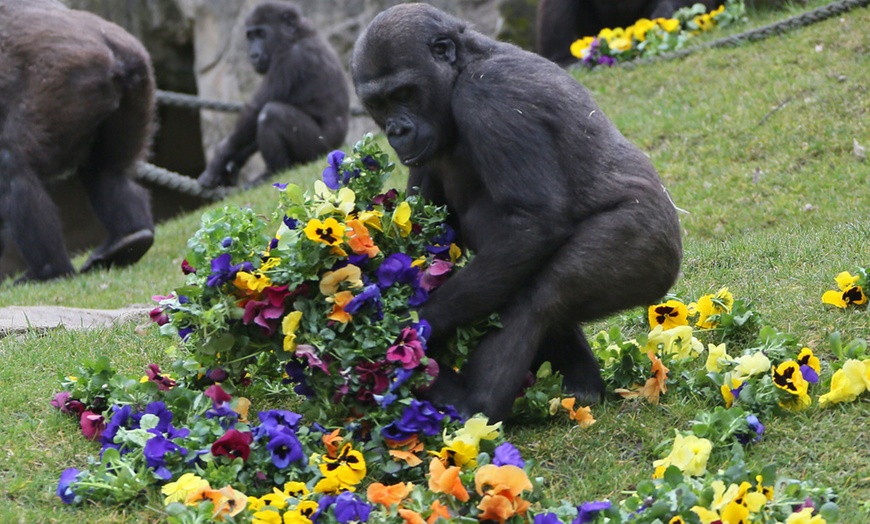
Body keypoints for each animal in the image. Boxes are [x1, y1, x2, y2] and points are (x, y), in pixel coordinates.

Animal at [0, 0, 155, 282]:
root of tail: (118, 53)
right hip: (138, 86)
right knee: (105, 172)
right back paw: (129, 239)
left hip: (66, 81)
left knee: (13, 167)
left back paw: (48, 270)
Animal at [199, 1, 352, 189]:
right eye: (250, 36)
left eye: (261, 34)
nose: (253, 55)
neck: (297, 35)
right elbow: (249, 130)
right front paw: (231, 166)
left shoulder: (289, 58)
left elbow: (254, 112)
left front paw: (218, 160)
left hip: (321, 149)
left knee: (270, 114)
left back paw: (273, 172)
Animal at [350, 3, 684, 422]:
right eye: (379, 104)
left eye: (404, 93)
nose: (396, 131)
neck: (463, 67)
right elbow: (421, 224)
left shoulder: (488, 94)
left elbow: (533, 221)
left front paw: (414, 326)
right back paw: (582, 384)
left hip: (649, 247)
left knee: (540, 295)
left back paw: (474, 403)